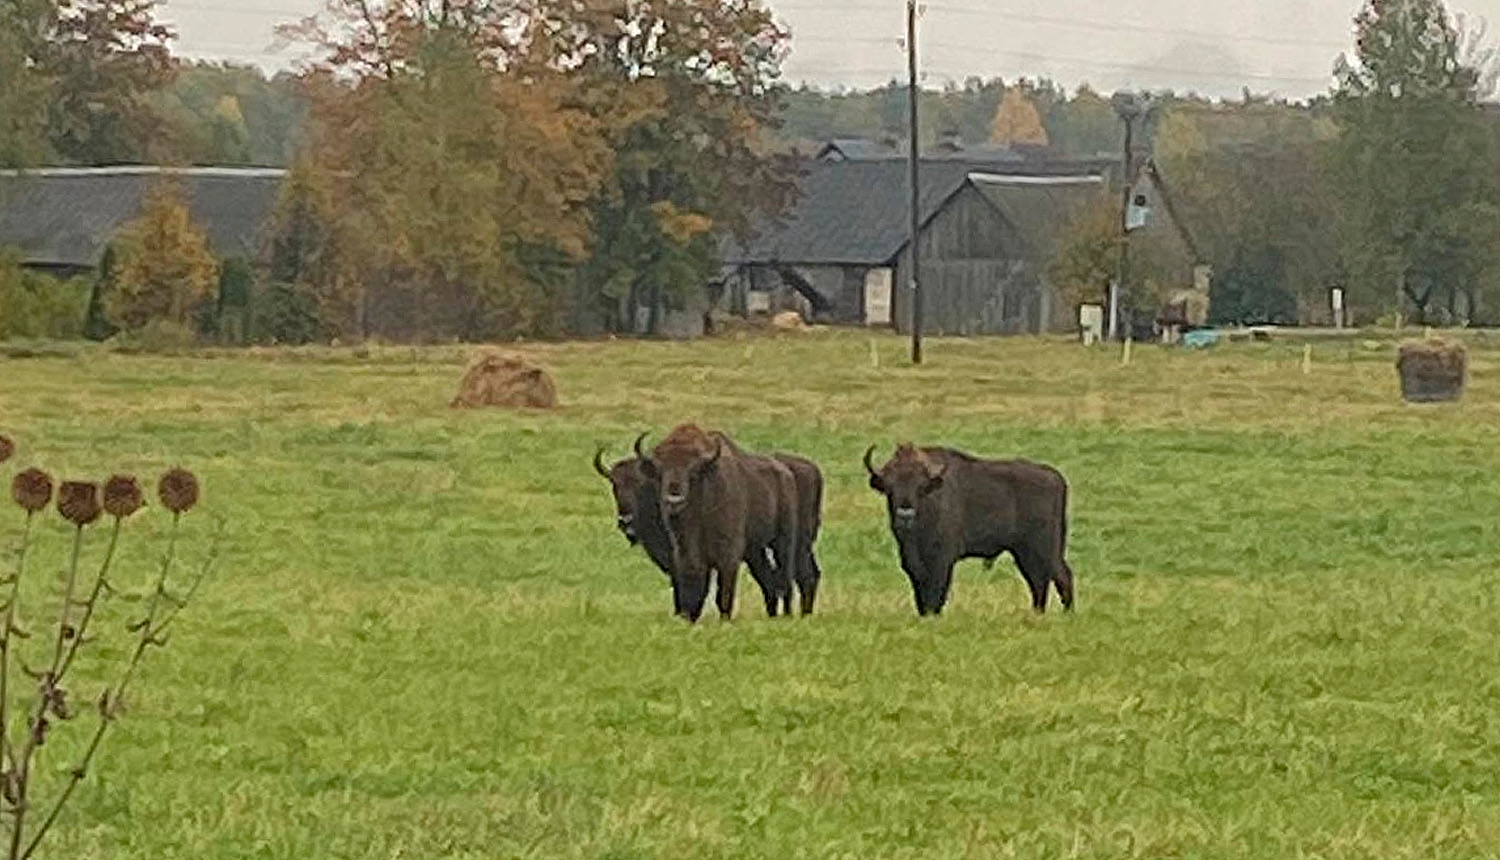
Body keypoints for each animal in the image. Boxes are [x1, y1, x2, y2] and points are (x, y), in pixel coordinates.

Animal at [633, 423, 804, 621]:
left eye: (693, 471)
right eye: (660, 471)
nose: (674, 500)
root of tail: (786, 473)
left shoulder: (728, 554)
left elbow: (723, 593)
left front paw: (724, 619)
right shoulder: (685, 554)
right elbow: (693, 586)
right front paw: (689, 617)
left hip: (783, 540)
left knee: (785, 576)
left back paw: (787, 614)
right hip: (754, 551)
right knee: (768, 578)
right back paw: (772, 614)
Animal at [864, 441, 1074, 618]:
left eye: (921, 487)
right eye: (890, 487)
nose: (905, 514)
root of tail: (1057, 478)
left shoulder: (941, 561)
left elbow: (936, 593)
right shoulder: (912, 563)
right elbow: (921, 594)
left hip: (1046, 549)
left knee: (1060, 576)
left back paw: (1066, 613)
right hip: (1024, 552)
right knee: (1038, 581)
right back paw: (1038, 613)